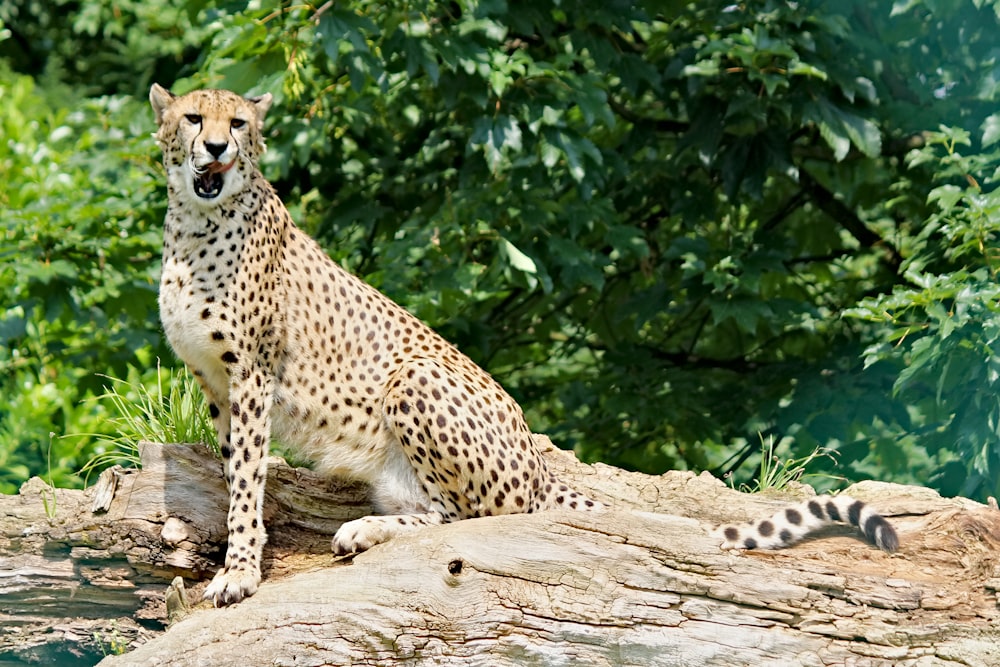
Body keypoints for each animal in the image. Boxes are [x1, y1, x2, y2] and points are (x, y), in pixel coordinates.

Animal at [146, 83, 900, 604]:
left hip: (415, 376)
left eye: (238, 124)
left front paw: (240, 573)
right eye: (194, 120)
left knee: (468, 519)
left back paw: (364, 532)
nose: (216, 149)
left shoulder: (252, 377)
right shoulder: (216, 383)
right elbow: (234, 470)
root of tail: (537, 460)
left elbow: (248, 482)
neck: (194, 227)